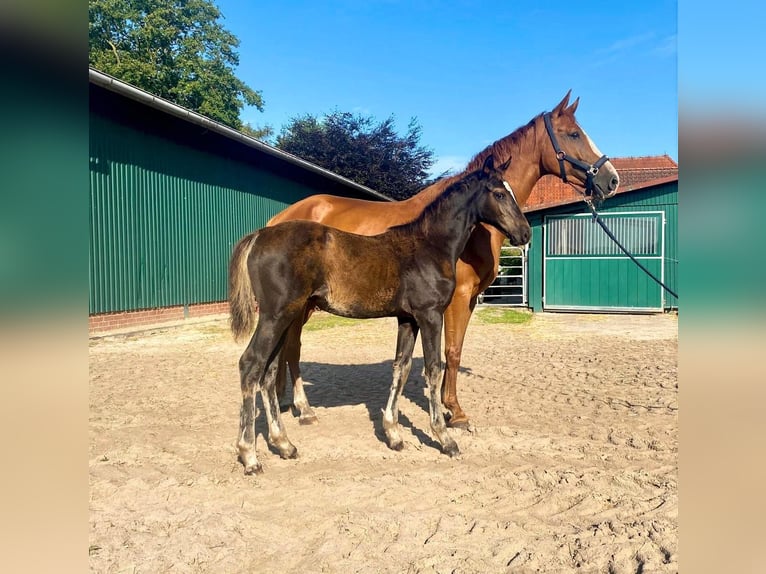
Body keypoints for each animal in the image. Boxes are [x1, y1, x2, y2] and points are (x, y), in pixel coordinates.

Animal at [228, 155, 532, 474]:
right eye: (499, 194)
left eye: (511, 191)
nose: (525, 233)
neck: (429, 245)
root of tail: (259, 235)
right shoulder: (430, 314)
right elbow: (433, 369)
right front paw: (445, 438)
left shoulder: (408, 319)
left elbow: (401, 367)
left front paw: (393, 434)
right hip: (276, 316)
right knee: (251, 364)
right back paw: (250, 455)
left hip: (286, 315)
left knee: (268, 370)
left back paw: (284, 444)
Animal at [268, 91, 620, 428]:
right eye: (573, 134)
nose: (611, 179)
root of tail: (278, 219)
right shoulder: (456, 299)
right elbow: (449, 352)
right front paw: (455, 412)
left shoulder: (469, 299)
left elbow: (453, 351)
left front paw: (446, 406)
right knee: (290, 347)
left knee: (287, 347)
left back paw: (287, 404)